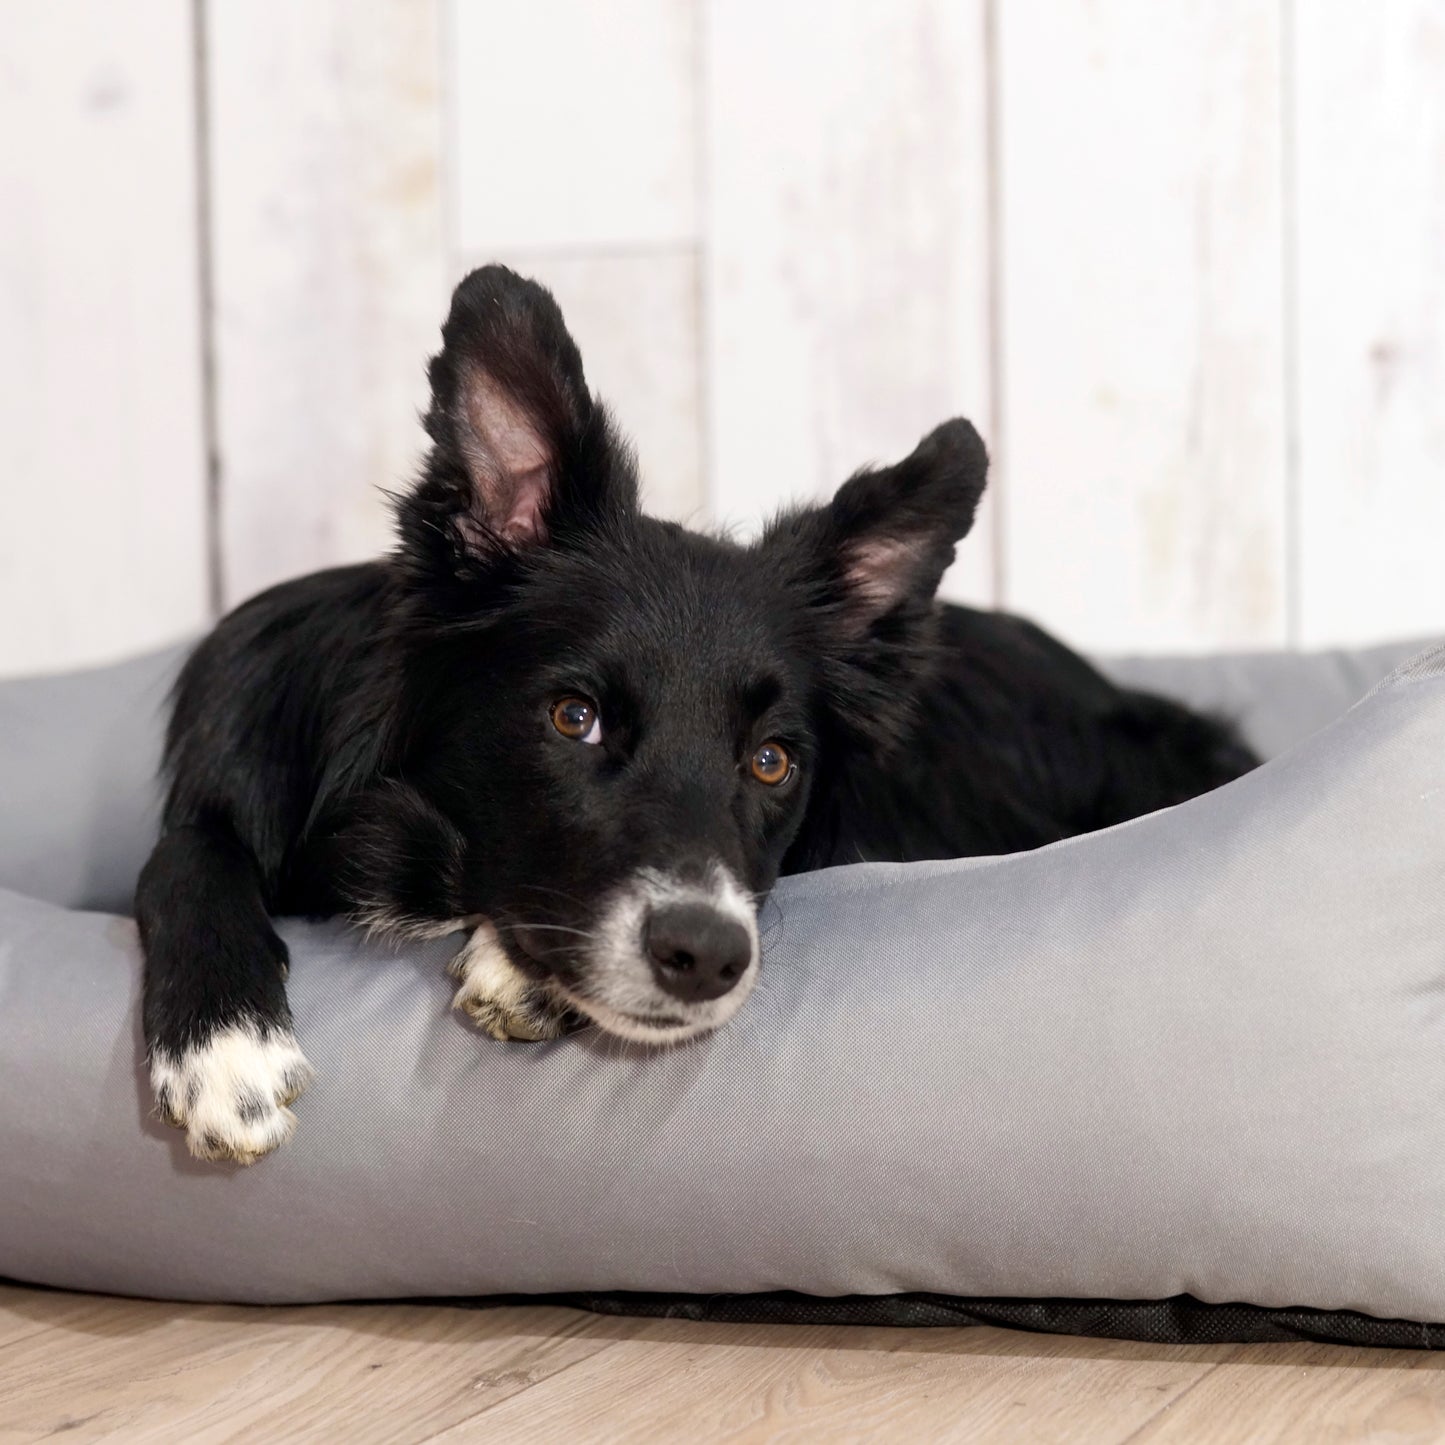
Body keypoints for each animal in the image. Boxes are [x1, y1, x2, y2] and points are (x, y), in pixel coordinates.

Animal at [137, 262, 1265, 1161]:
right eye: (575, 717)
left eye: (771, 760)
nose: (706, 956)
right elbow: (185, 857)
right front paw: (224, 1046)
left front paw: (515, 970)